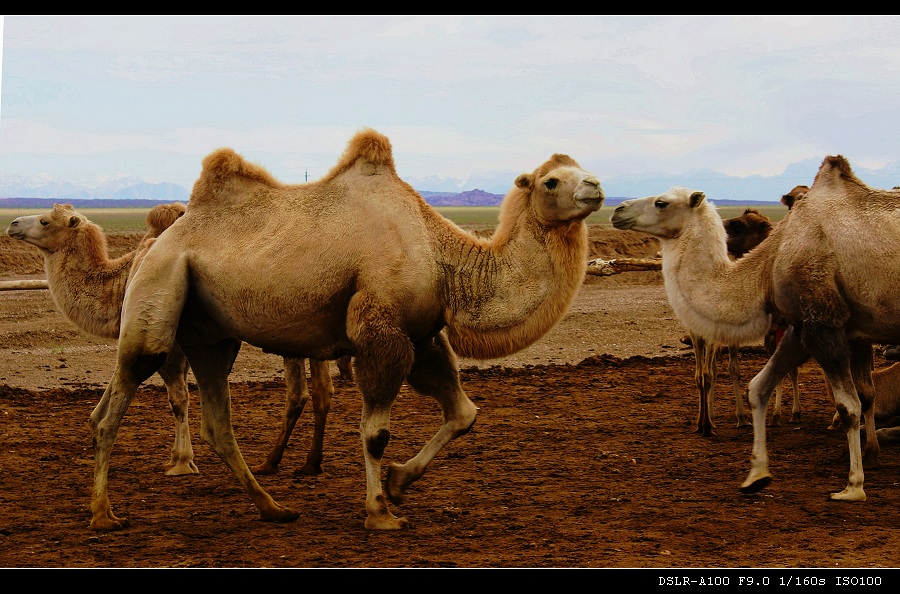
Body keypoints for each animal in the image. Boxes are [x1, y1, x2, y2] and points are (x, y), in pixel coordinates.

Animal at [4, 202, 344, 476]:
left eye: (46, 221)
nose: (12, 223)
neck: (122, 282)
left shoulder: (167, 341)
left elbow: (178, 397)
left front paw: (182, 462)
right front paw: (96, 423)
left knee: (299, 393)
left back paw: (271, 462)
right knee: (322, 391)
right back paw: (308, 463)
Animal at [86, 127, 604, 528]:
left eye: (582, 167)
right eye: (552, 180)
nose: (597, 186)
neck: (440, 256)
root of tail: (160, 239)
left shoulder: (422, 337)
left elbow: (463, 414)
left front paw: (398, 481)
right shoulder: (381, 331)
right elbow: (376, 432)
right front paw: (380, 512)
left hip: (212, 333)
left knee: (216, 421)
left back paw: (274, 509)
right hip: (160, 290)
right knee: (119, 400)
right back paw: (103, 515)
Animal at [612, 156, 900, 500]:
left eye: (661, 202)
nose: (617, 210)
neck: (769, 263)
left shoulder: (824, 323)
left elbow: (849, 406)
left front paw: (853, 486)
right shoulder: (801, 328)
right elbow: (758, 388)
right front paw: (756, 475)